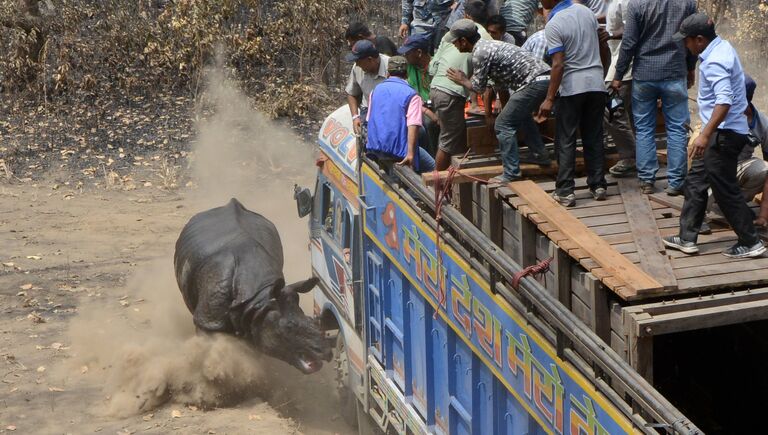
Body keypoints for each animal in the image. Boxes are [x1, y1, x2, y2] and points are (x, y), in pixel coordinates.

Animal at [176, 199, 332, 372]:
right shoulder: (209, 322)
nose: (326, 352)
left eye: (313, 321)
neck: (260, 297)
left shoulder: (255, 318)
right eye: (289, 328)